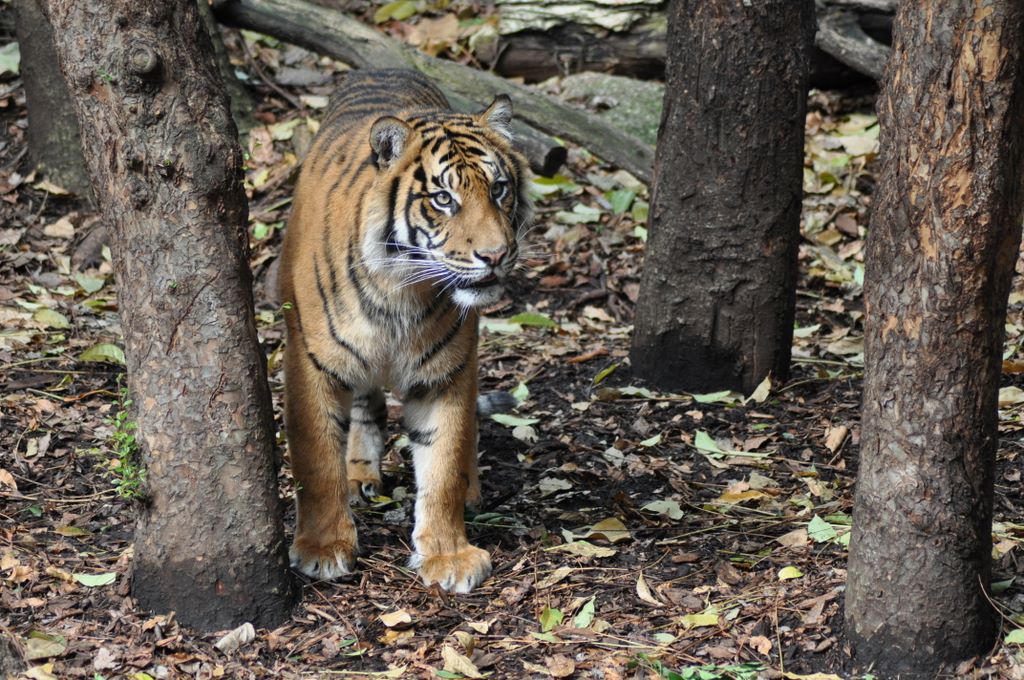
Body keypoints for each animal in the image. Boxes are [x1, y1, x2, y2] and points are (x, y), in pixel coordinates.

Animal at [278, 69, 532, 593]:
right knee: (364, 405)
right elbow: (316, 459)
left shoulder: (444, 373)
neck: (401, 290)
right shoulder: (311, 363)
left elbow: (443, 463)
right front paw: (321, 550)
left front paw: (448, 555)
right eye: (443, 199)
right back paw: (358, 476)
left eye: (499, 189)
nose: (496, 255)